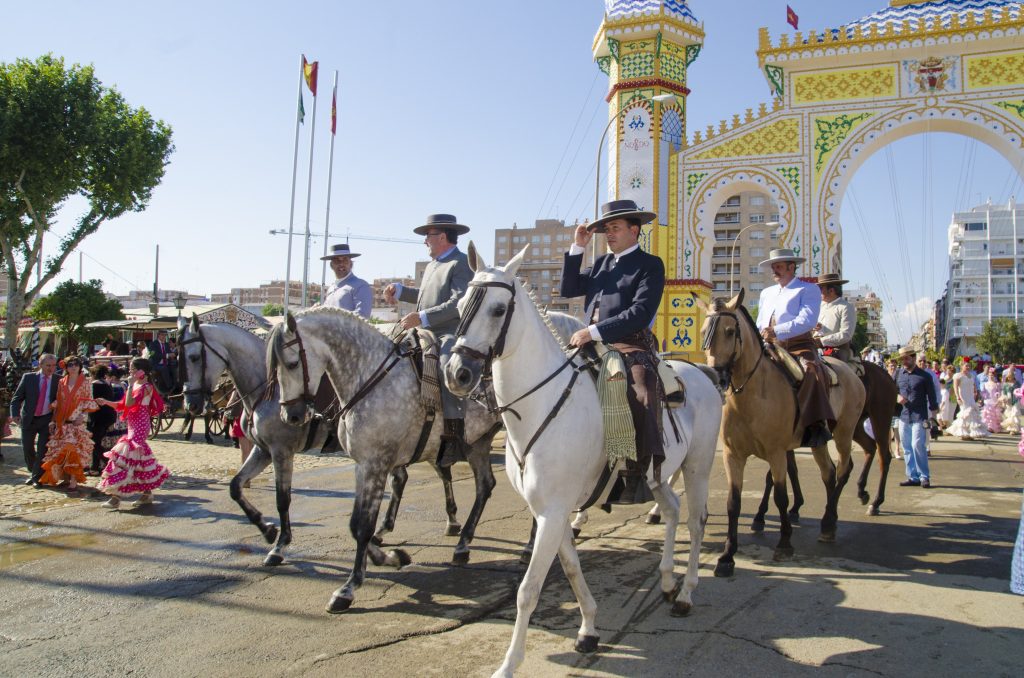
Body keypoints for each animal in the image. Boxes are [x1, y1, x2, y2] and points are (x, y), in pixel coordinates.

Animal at [446, 245, 720, 678]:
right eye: (459, 306)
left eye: (497, 309)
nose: (457, 373)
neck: (543, 402)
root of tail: (701, 372)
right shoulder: (549, 512)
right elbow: (572, 569)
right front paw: (589, 628)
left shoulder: (554, 512)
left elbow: (528, 590)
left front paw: (509, 663)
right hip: (659, 476)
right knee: (673, 512)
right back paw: (665, 581)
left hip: (698, 467)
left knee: (695, 523)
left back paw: (686, 594)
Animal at [696, 288, 864, 577]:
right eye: (704, 331)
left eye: (730, 331)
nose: (717, 376)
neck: (752, 394)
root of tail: (851, 372)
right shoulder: (732, 455)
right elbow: (733, 502)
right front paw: (727, 556)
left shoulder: (776, 453)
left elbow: (781, 496)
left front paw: (784, 543)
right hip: (818, 442)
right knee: (828, 473)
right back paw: (827, 522)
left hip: (844, 432)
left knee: (844, 469)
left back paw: (829, 522)